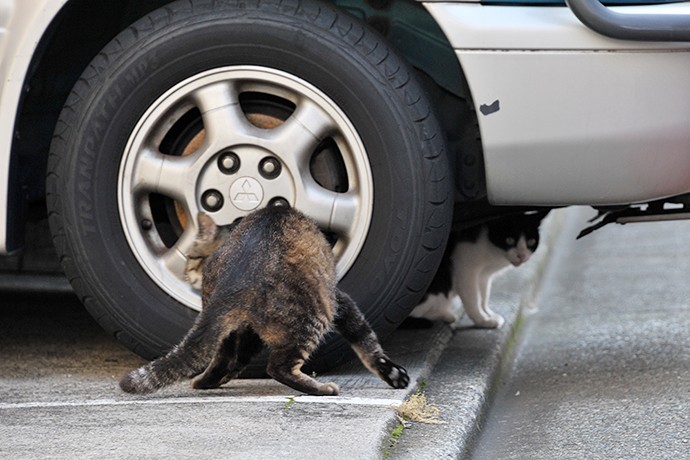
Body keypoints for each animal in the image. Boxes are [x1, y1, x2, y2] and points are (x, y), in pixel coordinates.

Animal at [119, 206, 408, 396]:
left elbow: (232, 358)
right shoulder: (341, 300)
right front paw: (392, 374)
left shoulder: (243, 331)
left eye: (191, 256)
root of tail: (239, 276)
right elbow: (367, 341)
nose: (185, 270)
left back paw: (205, 381)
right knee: (278, 367)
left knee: (224, 356)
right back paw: (322, 389)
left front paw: (218, 377)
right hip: (315, 313)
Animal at [408, 210, 548, 328]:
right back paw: (443, 315)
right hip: (440, 288)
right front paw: (483, 321)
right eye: (509, 240)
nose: (522, 256)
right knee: (414, 314)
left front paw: (488, 314)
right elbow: (473, 299)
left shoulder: (484, 276)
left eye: (531, 241)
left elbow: (484, 296)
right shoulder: (465, 269)